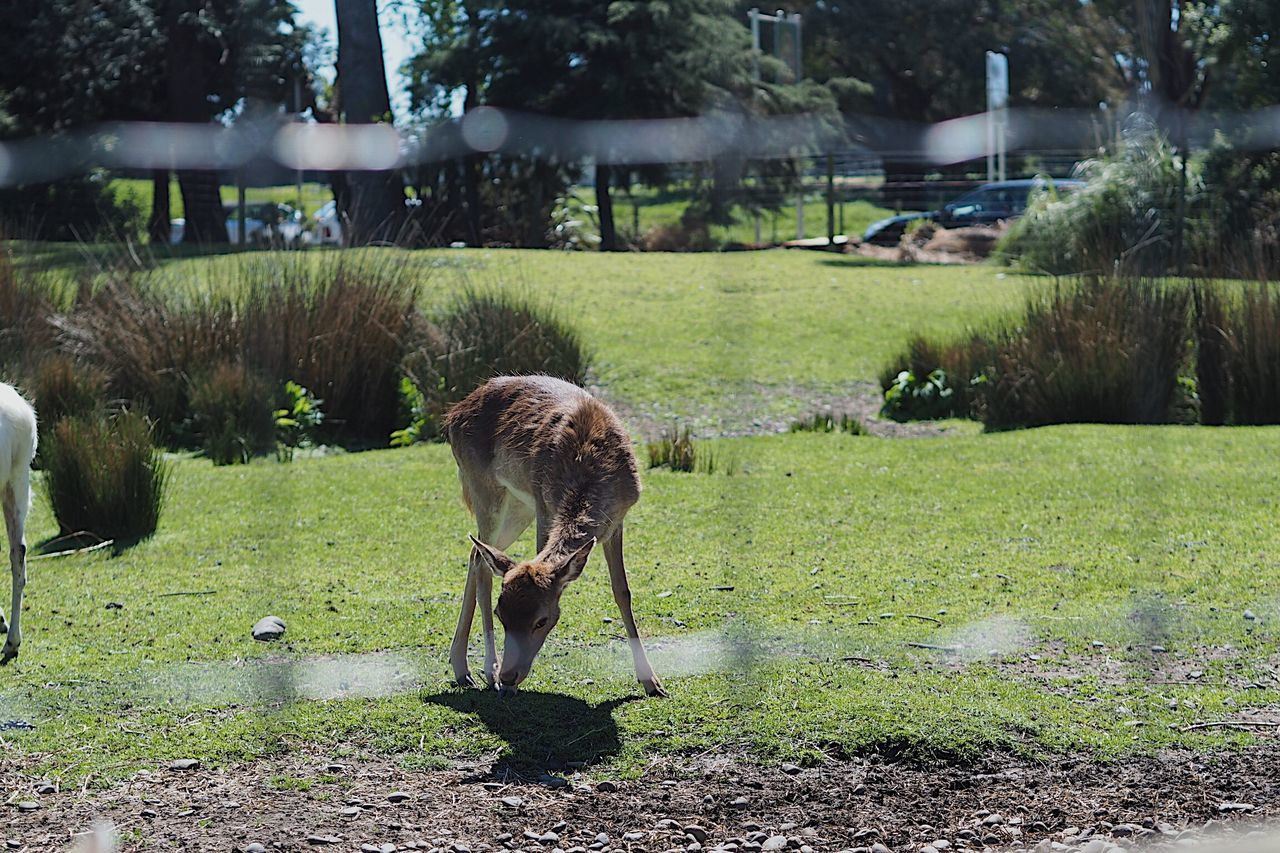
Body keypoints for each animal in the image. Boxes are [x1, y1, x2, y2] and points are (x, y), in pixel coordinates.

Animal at [445, 376, 665, 696]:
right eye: (501, 614)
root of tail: (451, 415)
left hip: (518, 507)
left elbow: (622, 591)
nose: (509, 677)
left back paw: (464, 669)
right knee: (481, 564)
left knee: (476, 554)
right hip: (484, 487)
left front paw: (652, 682)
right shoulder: (544, 505)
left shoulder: (617, 520)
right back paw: (481, 670)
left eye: (542, 620)